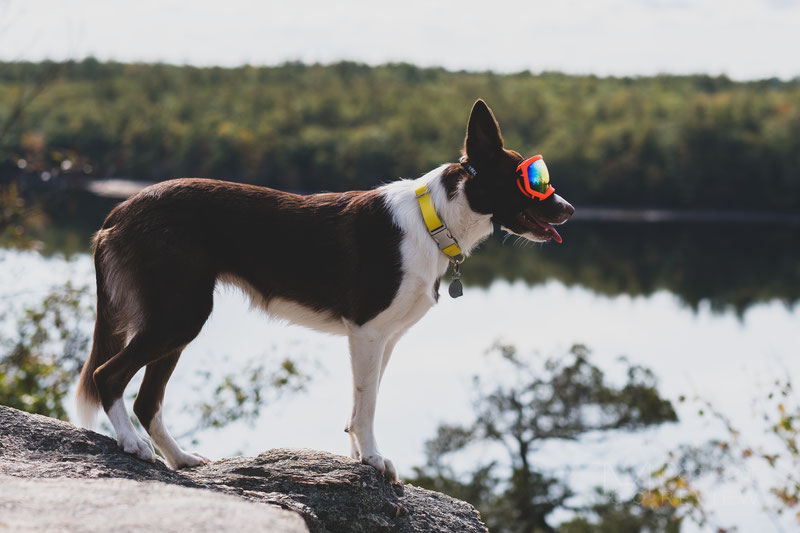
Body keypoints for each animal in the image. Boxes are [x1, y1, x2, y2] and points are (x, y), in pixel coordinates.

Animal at [75, 97, 572, 480]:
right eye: (532, 182)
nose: (568, 209)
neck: (436, 220)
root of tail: (118, 211)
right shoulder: (367, 332)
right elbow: (367, 404)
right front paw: (373, 460)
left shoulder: (385, 339)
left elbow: (361, 404)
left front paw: (358, 459)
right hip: (179, 314)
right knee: (107, 375)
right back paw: (132, 445)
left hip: (176, 319)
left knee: (146, 400)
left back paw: (180, 459)